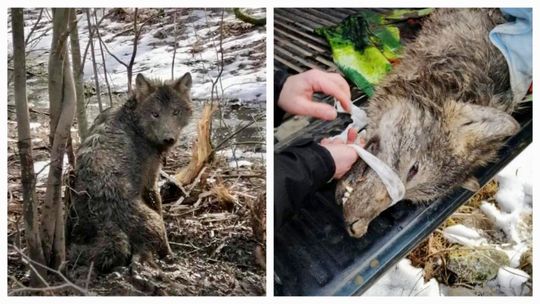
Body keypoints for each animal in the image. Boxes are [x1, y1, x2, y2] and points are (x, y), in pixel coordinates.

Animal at [67, 73, 193, 270]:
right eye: (155, 114)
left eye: (175, 112)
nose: (169, 139)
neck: (133, 120)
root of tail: (106, 220)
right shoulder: (150, 182)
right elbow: (160, 210)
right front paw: (171, 254)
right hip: (153, 222)